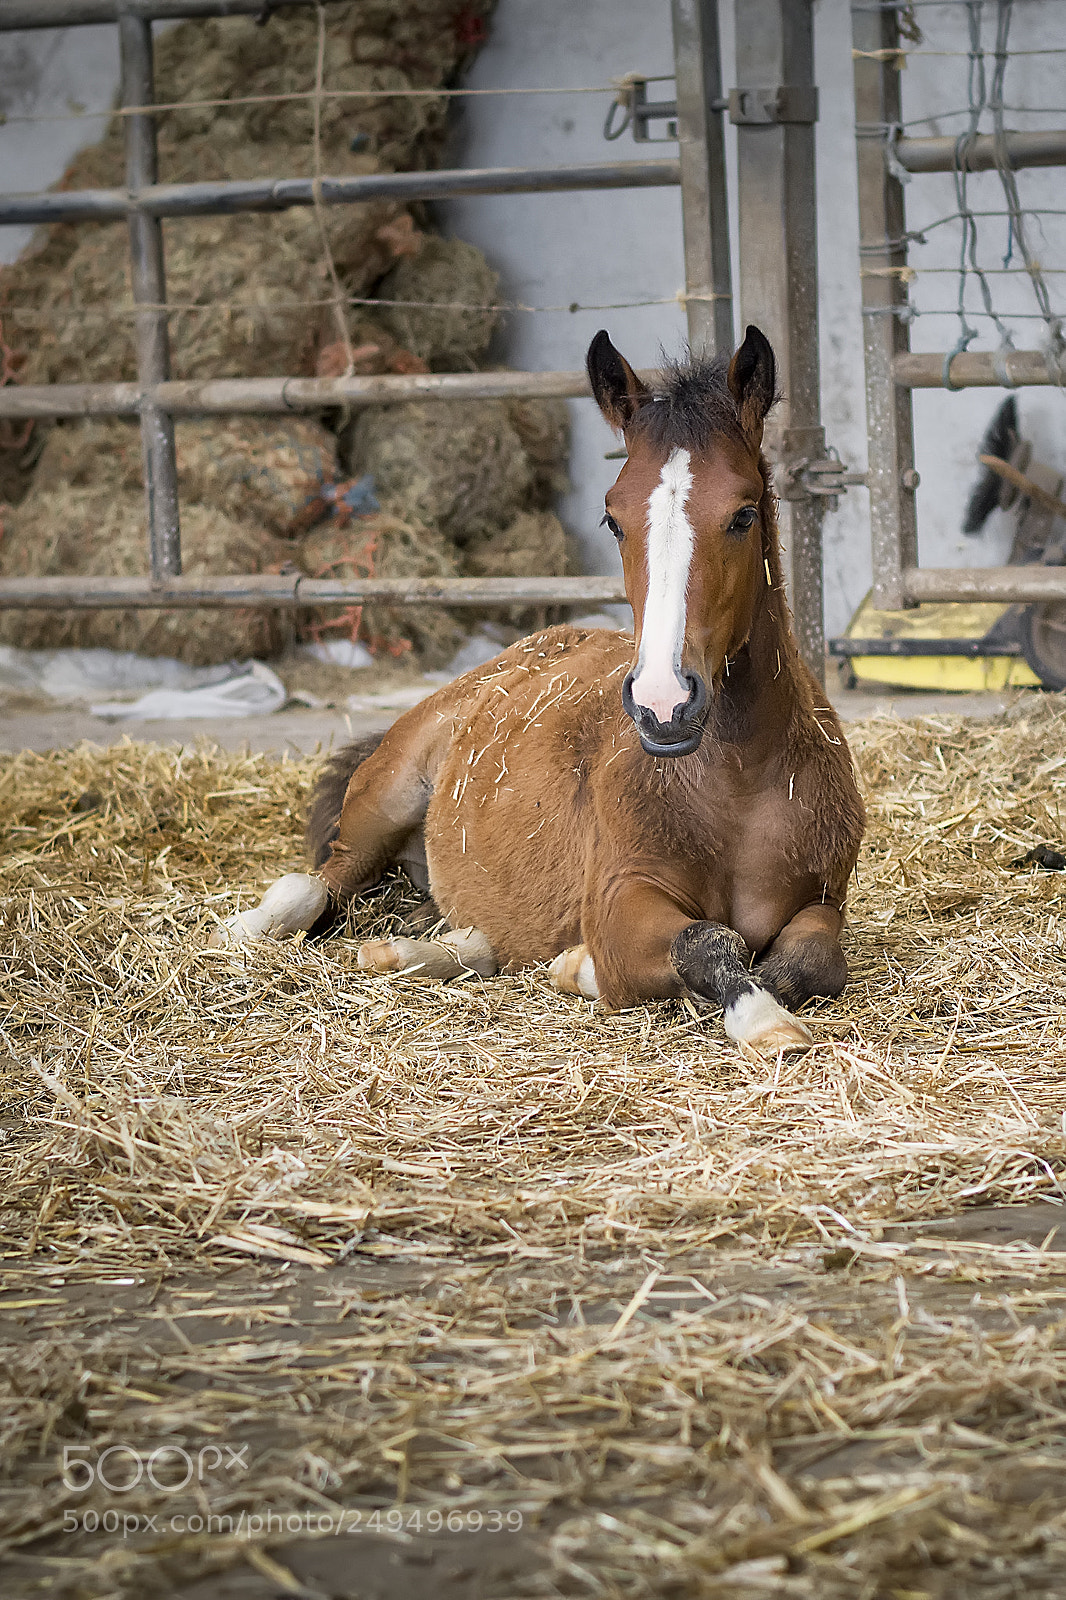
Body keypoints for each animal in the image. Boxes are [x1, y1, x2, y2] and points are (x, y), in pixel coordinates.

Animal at [213, 324, 866, 1055]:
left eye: (744, 514)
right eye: (612, 519)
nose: (664, 703)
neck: (736, 790)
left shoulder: (823, 900)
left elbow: (807, 961)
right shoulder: (620, 898)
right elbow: (705, 943)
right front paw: (761, 1022)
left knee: (465, 936)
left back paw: (415, 950)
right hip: (384, 797)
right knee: (314, 882)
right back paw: (242, 930)